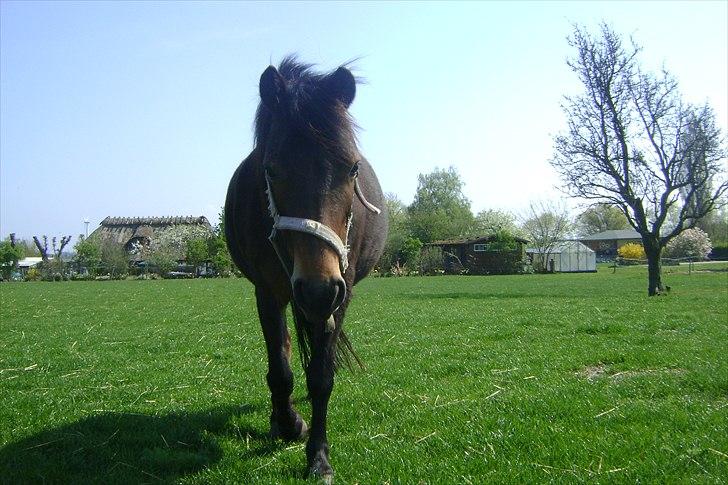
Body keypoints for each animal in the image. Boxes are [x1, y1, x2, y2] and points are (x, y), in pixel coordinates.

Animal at [225, 58, 386, 478]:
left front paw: (318, 455)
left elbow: (321, 378)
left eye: (352, 169)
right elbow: (280, 369)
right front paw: (288, 424)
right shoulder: (267, 291)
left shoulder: (340, 295)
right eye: (271, 169)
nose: (318, 288)